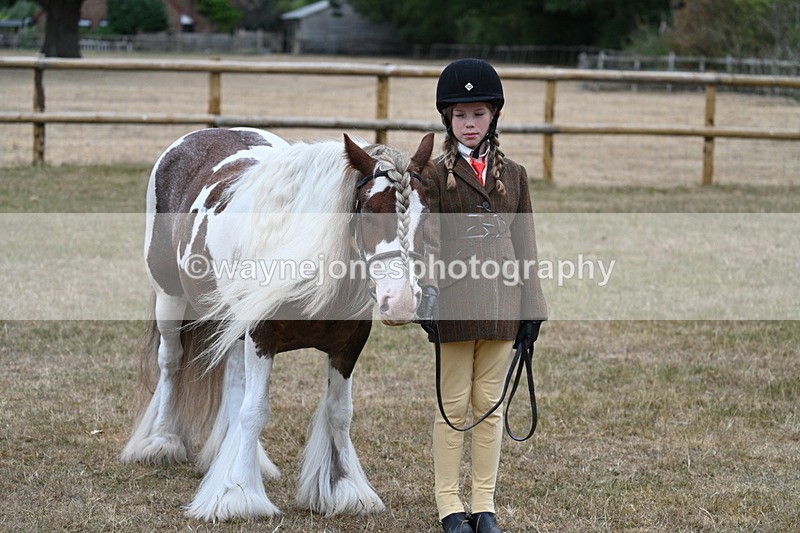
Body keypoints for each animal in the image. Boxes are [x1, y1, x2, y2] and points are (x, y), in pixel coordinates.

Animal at [120, 127, 434, 522]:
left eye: (428, 215)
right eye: (369, 213)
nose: (402, 300)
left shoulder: (348, 346)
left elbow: (339, 413)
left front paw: (344, 488)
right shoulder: (261, 336)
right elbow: (254, 411)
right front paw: (238, 494)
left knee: (234, 380)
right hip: (170, 300)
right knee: (171, 363)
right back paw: (162, 441)